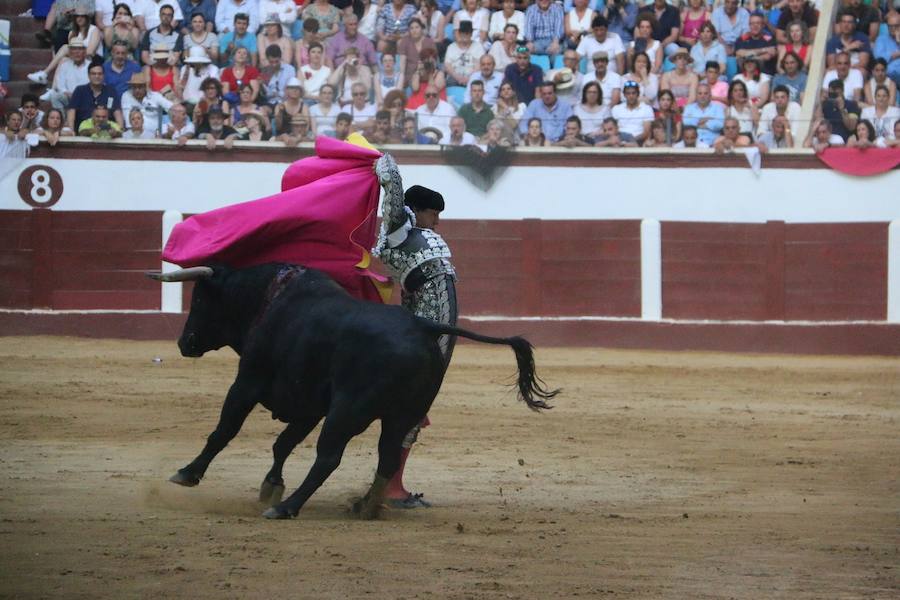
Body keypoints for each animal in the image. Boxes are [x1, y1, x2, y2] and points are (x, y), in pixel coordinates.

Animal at [148, 264, 556, 520]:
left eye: (199, 300)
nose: (184, 343)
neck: (268, 298)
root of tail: (423, 326)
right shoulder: (309, 405)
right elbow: (282, 444)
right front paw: (271, 484)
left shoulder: (248, 383)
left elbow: (224, 431)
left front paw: (188, 473)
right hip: (400, 414)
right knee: (388, 457)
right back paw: (365, 507)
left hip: (347, 411)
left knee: (329, 457)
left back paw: (287, 508)